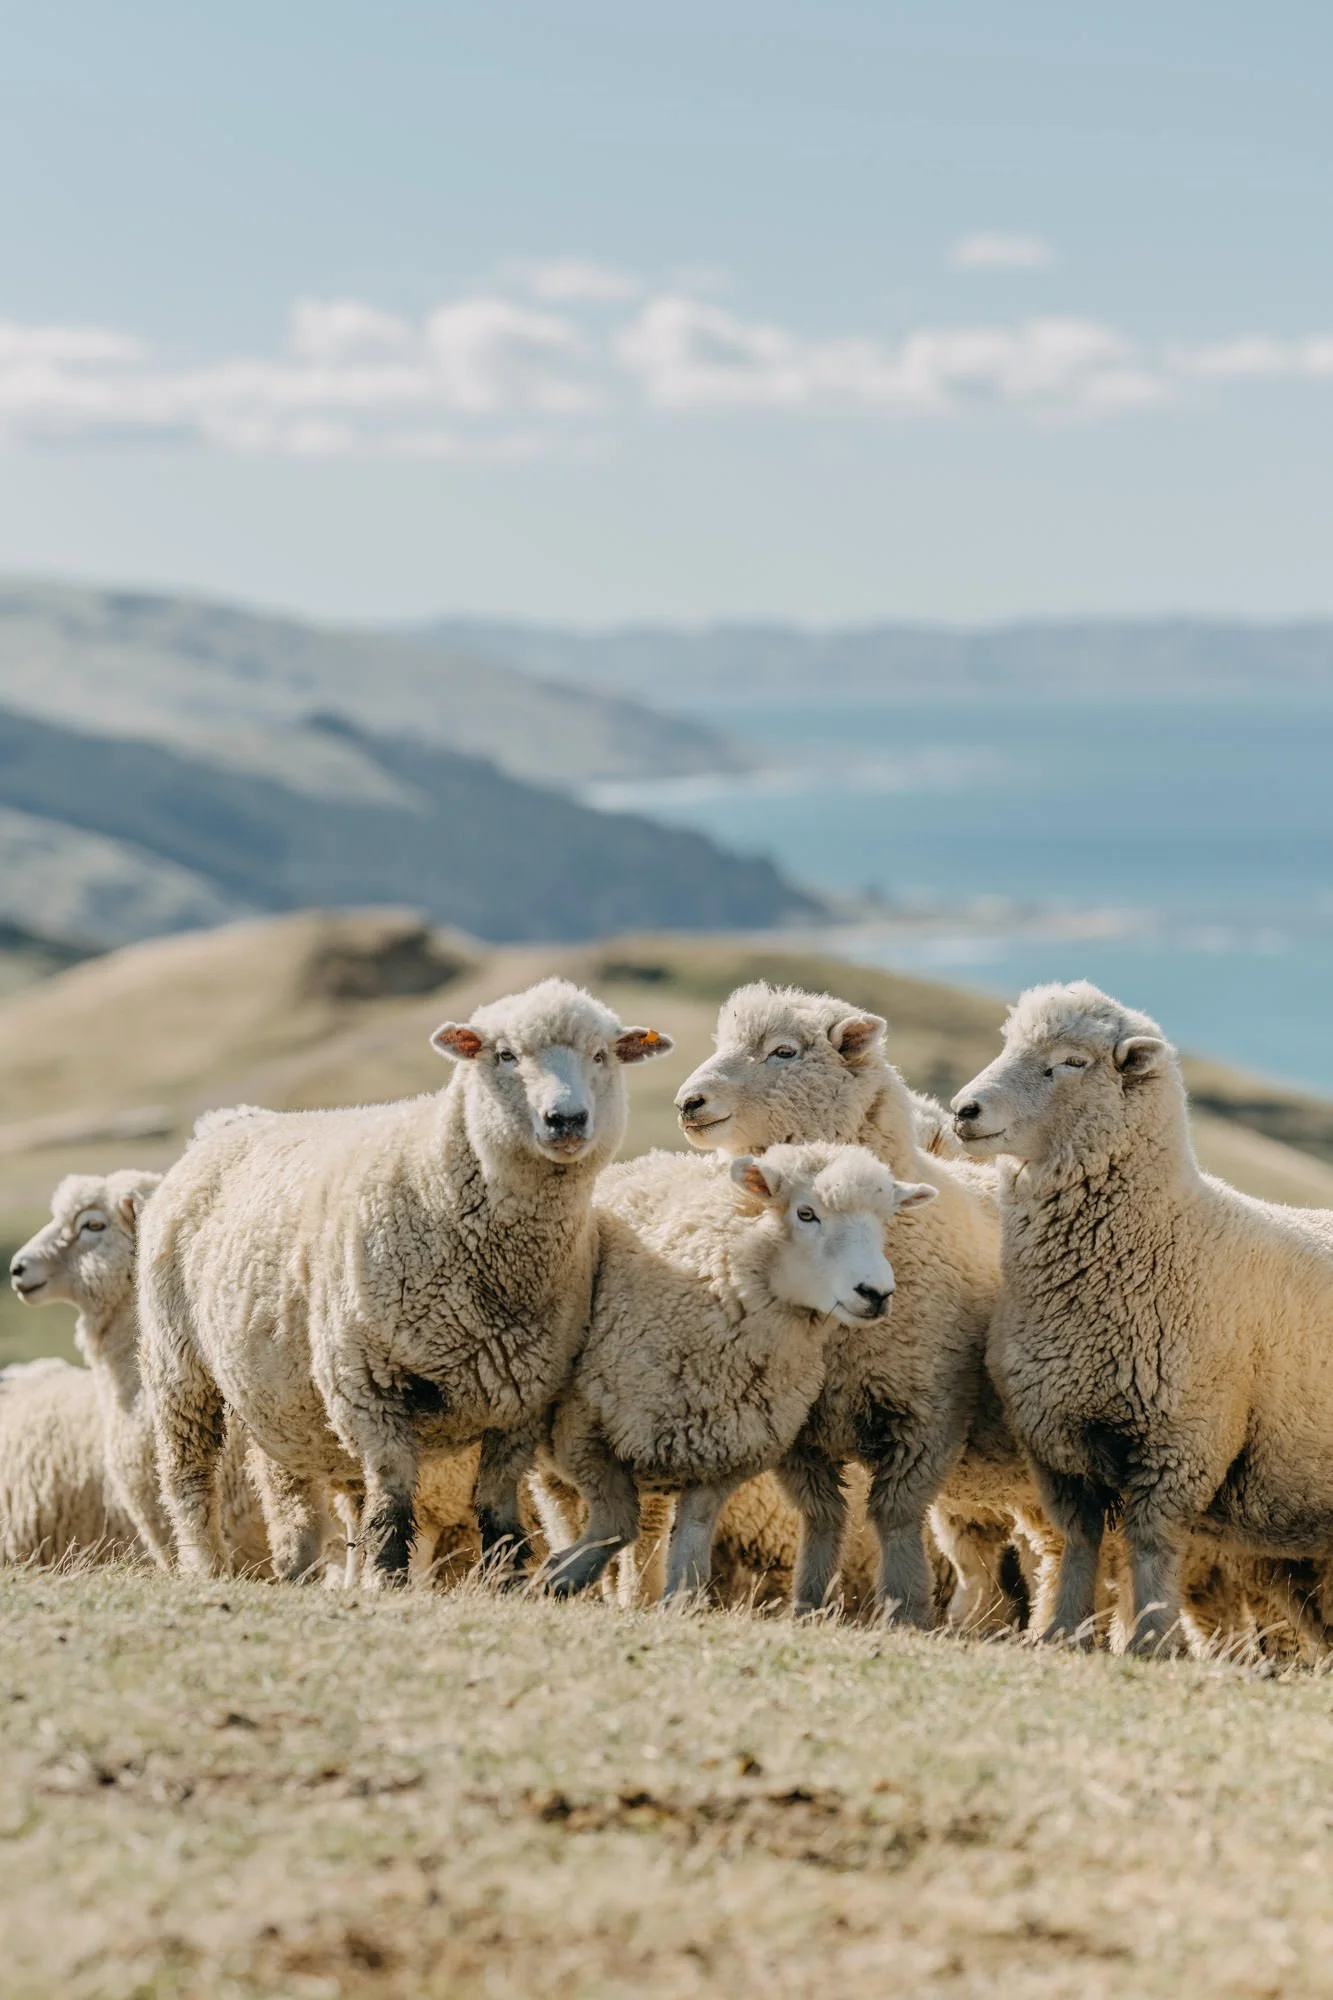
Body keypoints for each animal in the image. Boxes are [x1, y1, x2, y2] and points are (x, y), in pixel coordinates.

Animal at [139, 979, 672, 1586]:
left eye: (601, 1056)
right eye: (504, 1055)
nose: (567, 1119)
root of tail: (227, 1125)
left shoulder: (525, 1395)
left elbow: (496, 1500)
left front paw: (507, 1578)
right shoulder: (364, 1379)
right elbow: (392, 1496)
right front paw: (388, 1575)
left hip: (280, 1398)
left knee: (286, 1484)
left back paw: (296, 1566)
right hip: (178, 1366)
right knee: (188, 1479)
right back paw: (205, 1566)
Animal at [544, 1142, 936, 1599]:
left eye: (884, 1221)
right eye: (806, 1213)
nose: (876, 1293)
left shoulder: (725, 1452)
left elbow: (691, 1538)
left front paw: (678, 1600)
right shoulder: (581, 1428)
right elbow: (616, 1521)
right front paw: (561, 1573)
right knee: (558, 1506)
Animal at [674, 982, 1007, 1624]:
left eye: (783, 1051)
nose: (688, 1102)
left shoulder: (927, 1416)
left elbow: (895, 1518)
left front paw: (904, 1610)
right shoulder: (799, 1425)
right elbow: (824, 1517)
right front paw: (808, 1602)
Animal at [951, 979, 1333, 1655]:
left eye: (1072, 1061)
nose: (963, 1110)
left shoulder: (1181, 1439)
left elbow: (1151, 1545)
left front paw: (1152, 1642)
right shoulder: (1059, 1440)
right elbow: (1079, 1543)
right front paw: (1061, 1632)